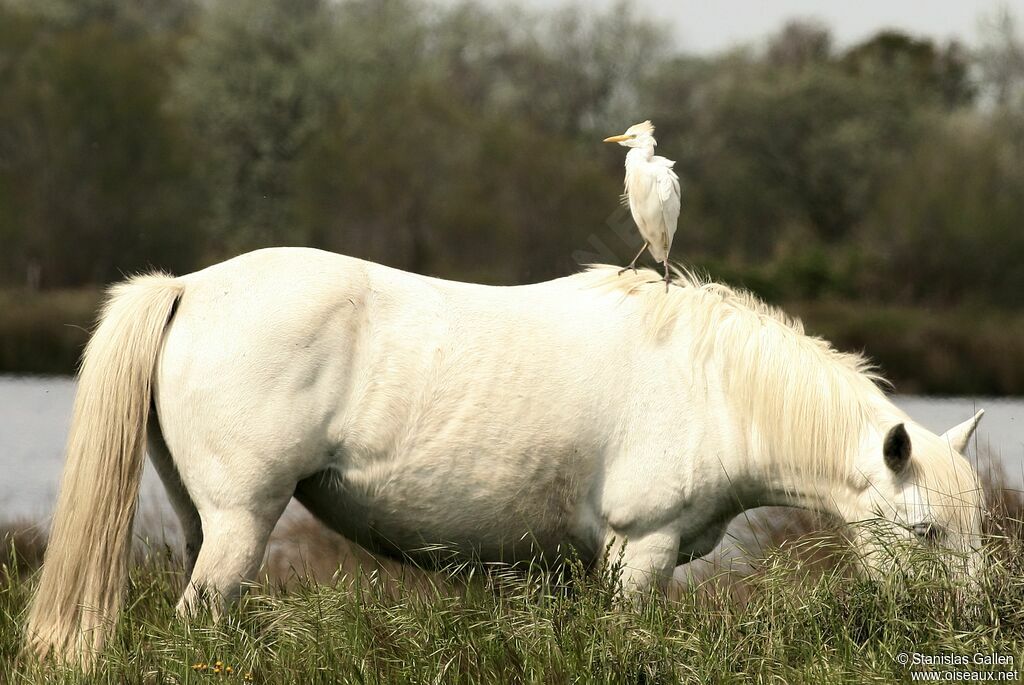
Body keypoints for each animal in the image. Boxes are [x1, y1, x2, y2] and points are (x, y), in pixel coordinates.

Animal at [24, 245, 983, 663]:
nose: (961, 630)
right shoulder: (641, 550)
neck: (711, 383)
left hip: (207, 519)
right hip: (240, 519)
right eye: (927, 532)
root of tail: (187, 287)